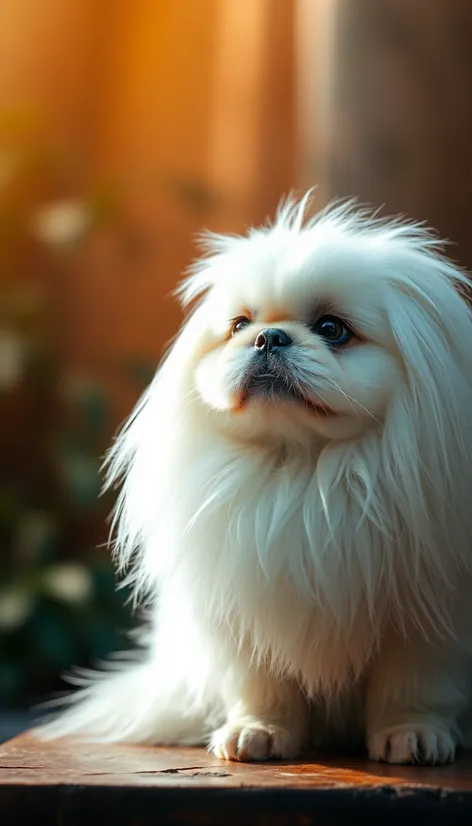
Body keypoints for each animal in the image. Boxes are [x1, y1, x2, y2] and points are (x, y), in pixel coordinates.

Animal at [39, 195, 472, 768]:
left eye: (333, 329)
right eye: (240, 324)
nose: (269, 336)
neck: (305, 478)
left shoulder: (429, 616)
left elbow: (413, 685)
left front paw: (413, 735)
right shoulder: (244, 610)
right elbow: (263, 686)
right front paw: (257, 733)